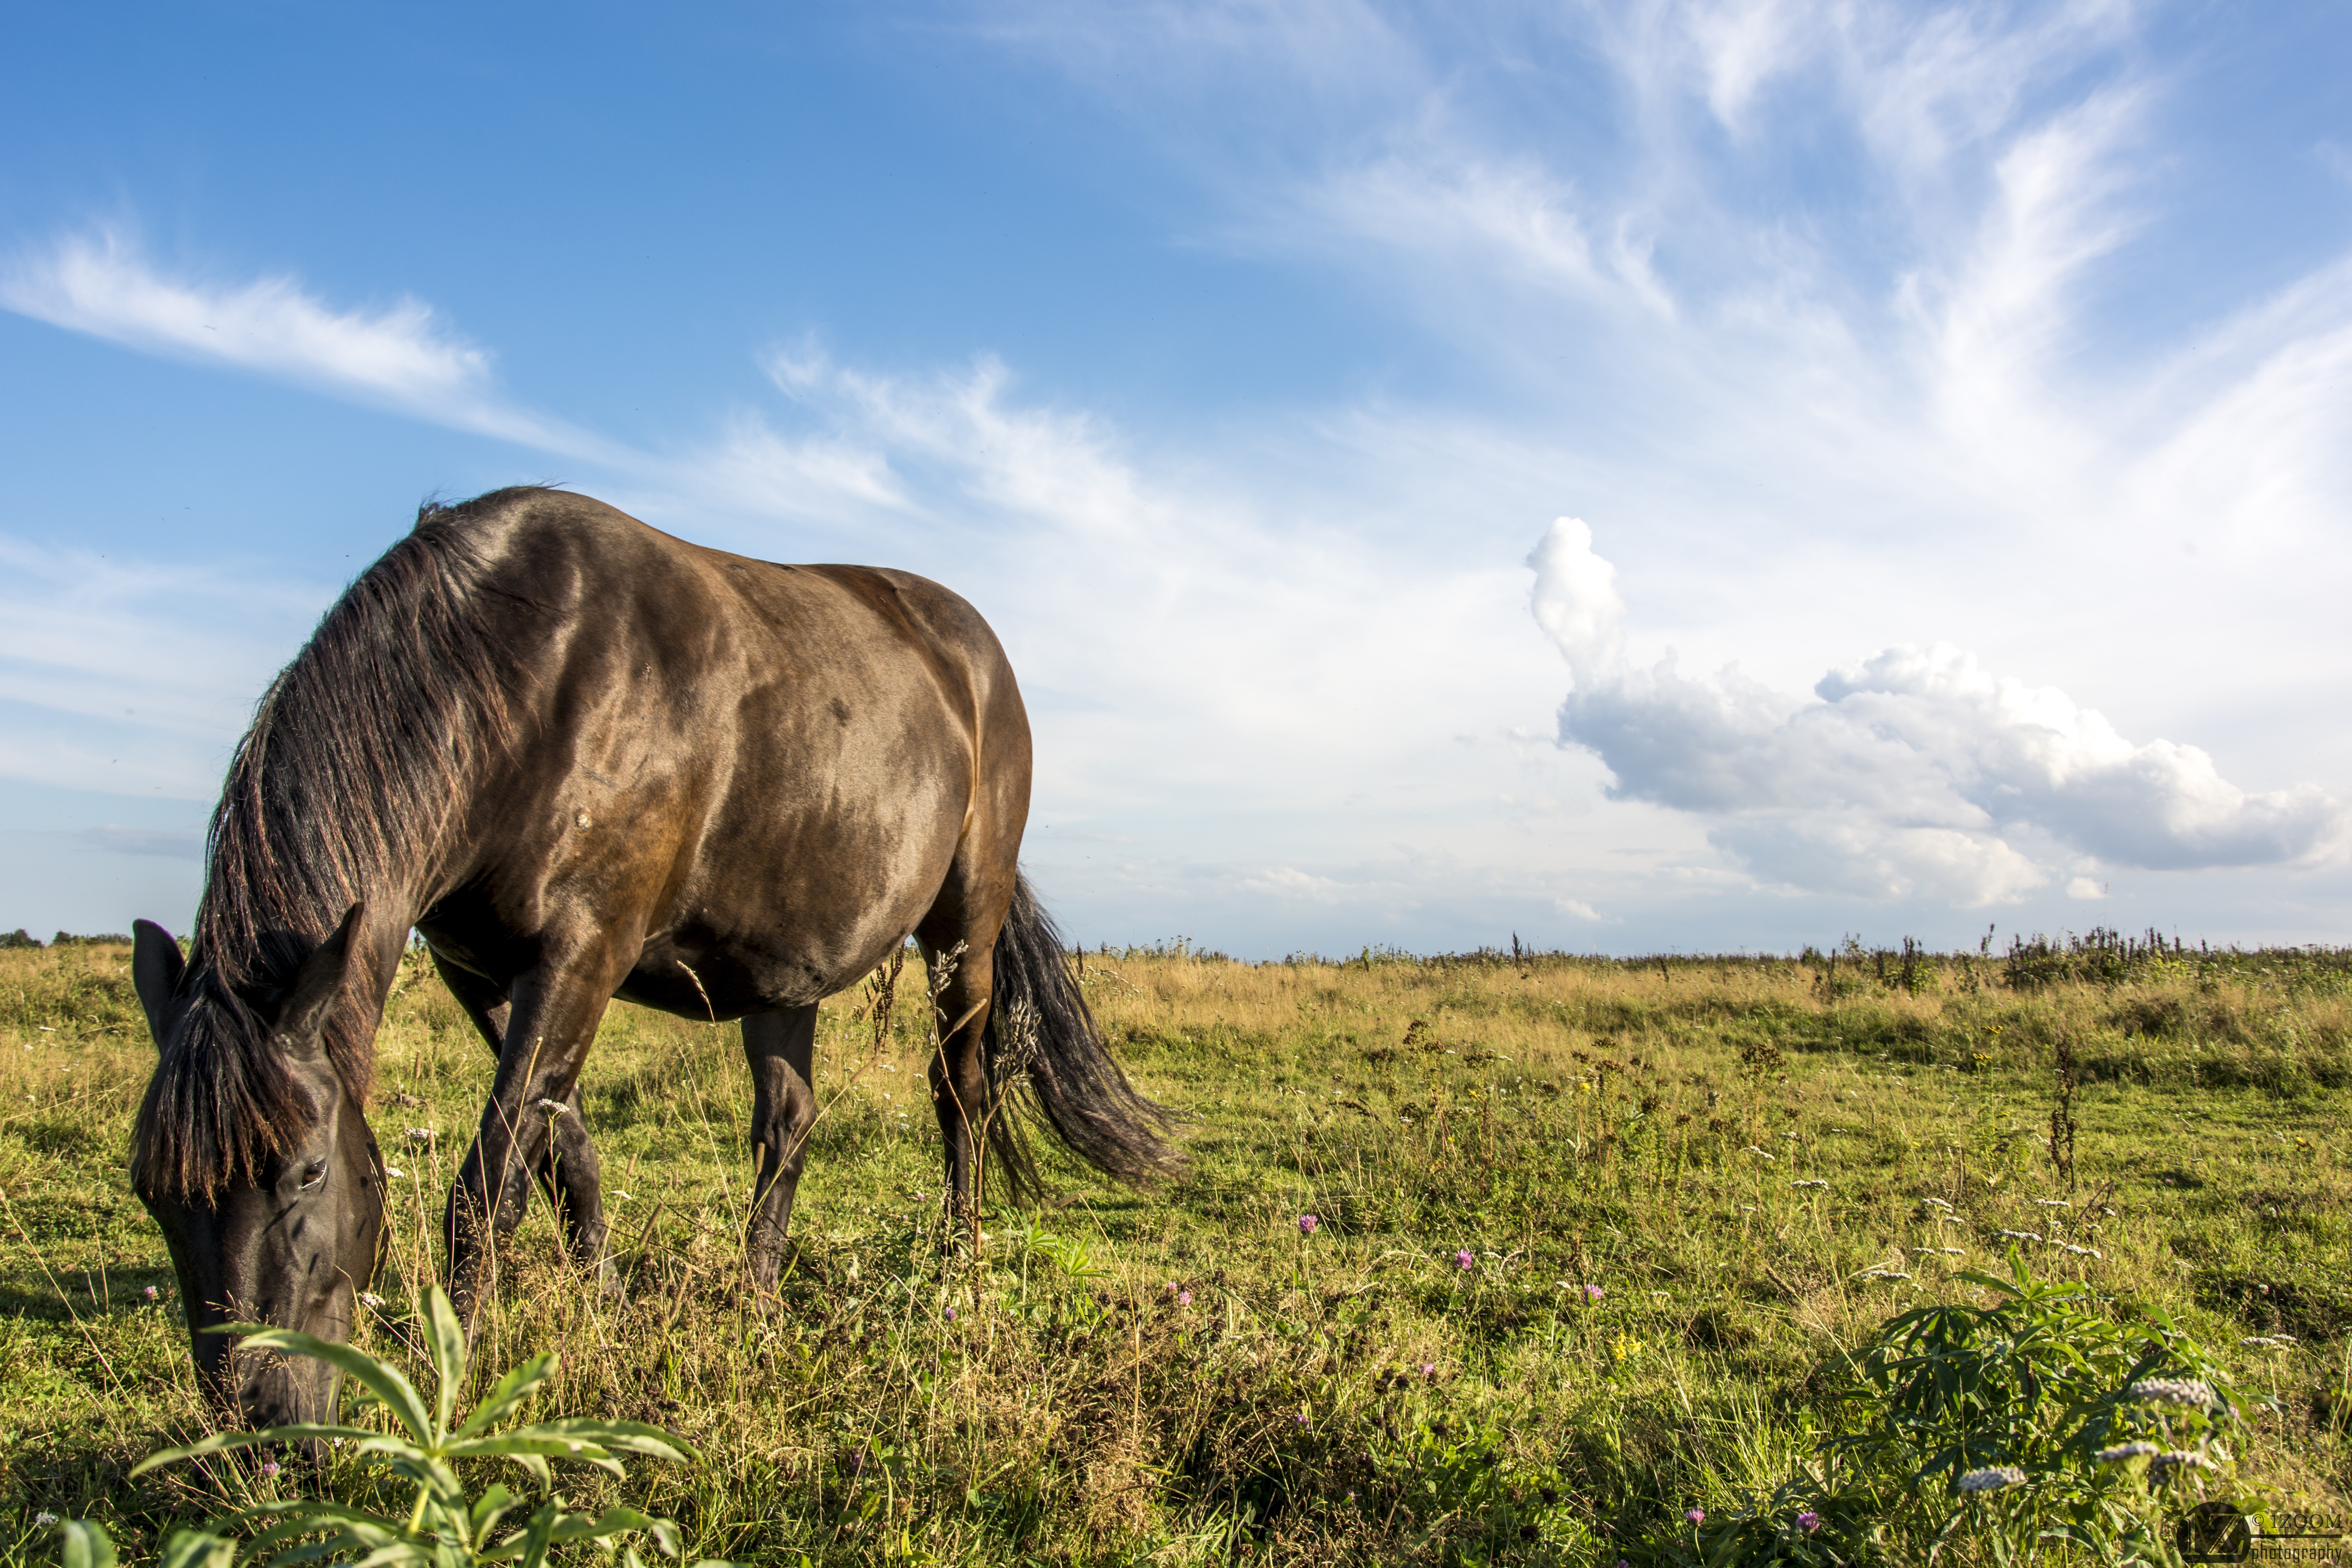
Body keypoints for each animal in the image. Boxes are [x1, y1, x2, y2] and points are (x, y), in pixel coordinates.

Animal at [127, 486, 1180, 1428]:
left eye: (307, 1171)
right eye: (153, 1192)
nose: (257, 1422)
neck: (517, 678)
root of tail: (970, 647)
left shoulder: (583, 951)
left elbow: (487, 1185)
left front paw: (444, 1379)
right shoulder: (483, 970)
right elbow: (566, 1156)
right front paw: (602, 1311)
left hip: (965, 928)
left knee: (961, 1093)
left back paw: (956, 1277)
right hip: (785, 966)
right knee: (787, 1122)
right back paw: (757, 1304)